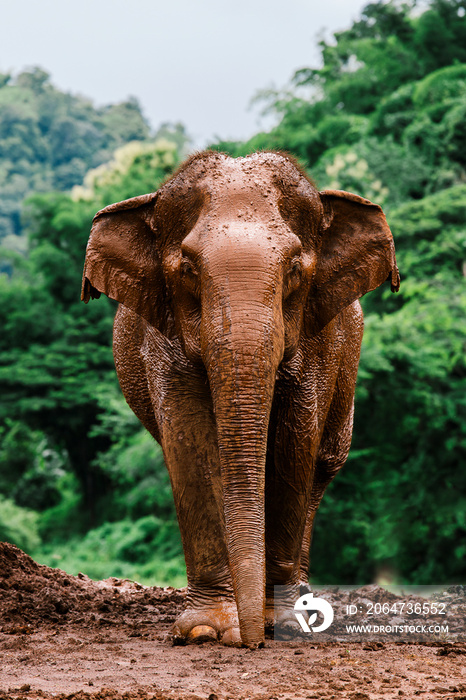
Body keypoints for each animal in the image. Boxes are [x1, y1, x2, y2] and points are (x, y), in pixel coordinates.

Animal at [81, 150, 400, 648]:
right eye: (188, 268)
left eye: (294, 268)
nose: (251, 643)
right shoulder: (164, 338)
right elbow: (189, 442)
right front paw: (206, 630)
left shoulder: (320, 338)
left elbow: (294, 442)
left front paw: (284, 624)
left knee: (323, 465)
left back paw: (303, 604)